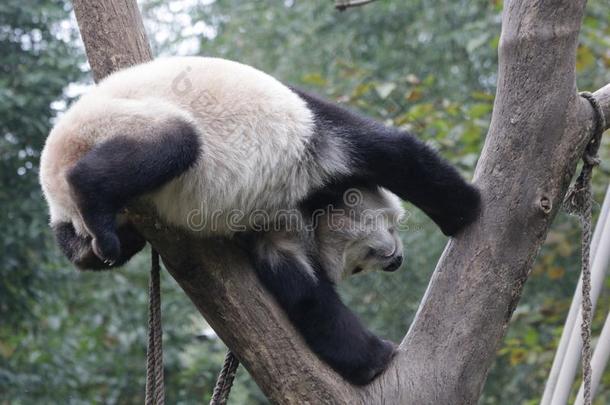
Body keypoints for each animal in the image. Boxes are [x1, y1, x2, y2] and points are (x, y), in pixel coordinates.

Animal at [39, 56, 480, 382]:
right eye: (369, 254)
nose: (395, 260)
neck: (309, 203)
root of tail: (52, 169)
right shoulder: (315, 145)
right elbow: (396, 152)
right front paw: (466, 210)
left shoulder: (271, 224)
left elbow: (302, 292)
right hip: (117, 121)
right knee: (174, 144)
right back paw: (92, 195)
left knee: (86, 244)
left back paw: (96, 243)